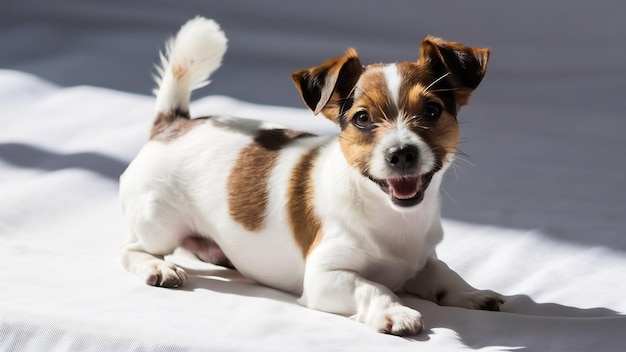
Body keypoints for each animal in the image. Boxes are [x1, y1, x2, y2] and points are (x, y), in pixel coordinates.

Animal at [120, 16, 502, 336]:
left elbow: (444, 273)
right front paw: (394, 311)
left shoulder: (422, 261)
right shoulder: (323, 277)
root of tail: (174, 122)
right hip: (159, 223)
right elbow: (372, 285)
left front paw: (472, 293)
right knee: (132, 249)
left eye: (432, 111)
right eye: (362, 119)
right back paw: (158, 268)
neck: (389, 214)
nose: (401, 153)